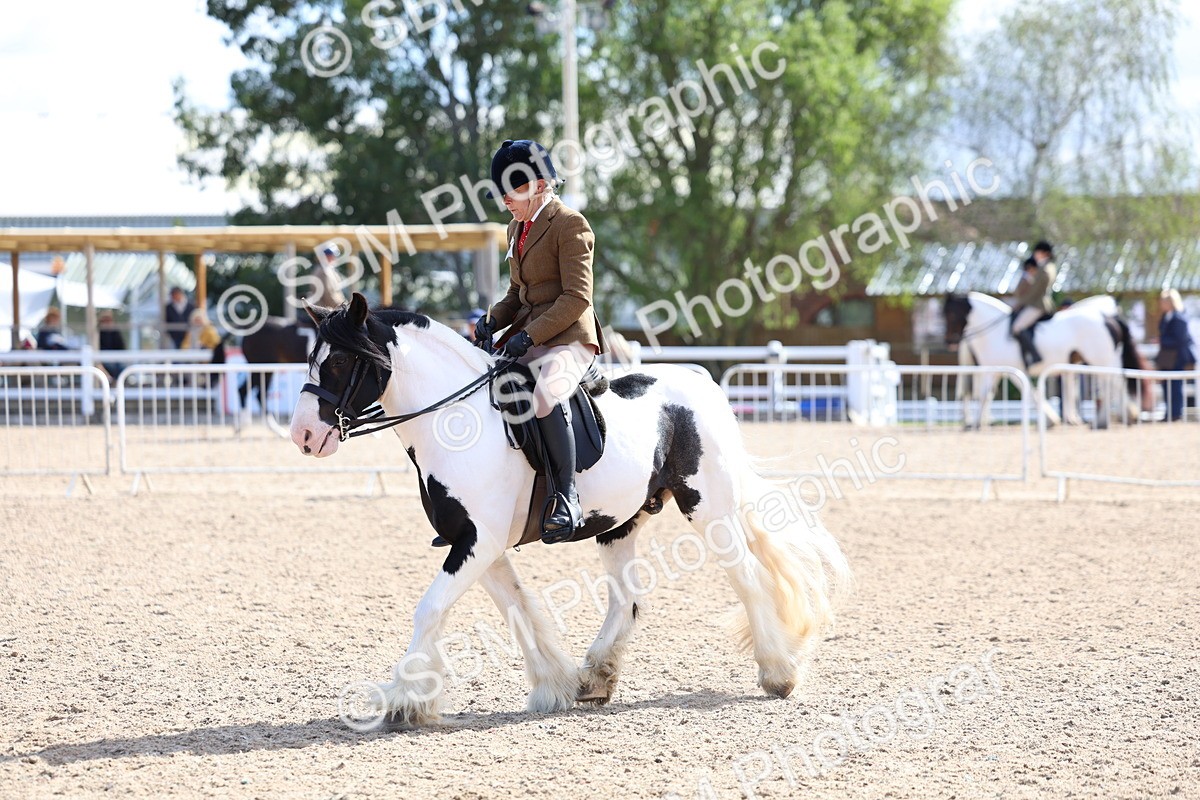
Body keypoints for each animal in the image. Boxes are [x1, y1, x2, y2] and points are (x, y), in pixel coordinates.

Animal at [289, 293, 850, 727]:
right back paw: (595, 677)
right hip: (620, 524)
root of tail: (700, 384)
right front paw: (554, 685)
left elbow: (429, 609)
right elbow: (519, 609)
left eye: (339, 362)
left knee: (748, 578)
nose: (303, 436)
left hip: (707, 509)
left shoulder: (477, 543)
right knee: (628, 600)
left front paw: (404, 702)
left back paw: (778, 673)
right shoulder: (478, 544)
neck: (456, 420)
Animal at [943, 292, 1149, 427]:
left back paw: (1105, 420)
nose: (950, 341)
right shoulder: (999, 370)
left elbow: (1024, 393)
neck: (995, 333)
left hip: (1100, 359)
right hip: (1105, 360)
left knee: (1111, 385)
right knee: (1115, 384)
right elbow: (992, 394)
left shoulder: (1010, 369)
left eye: (950, 314)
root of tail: (1107, 319)